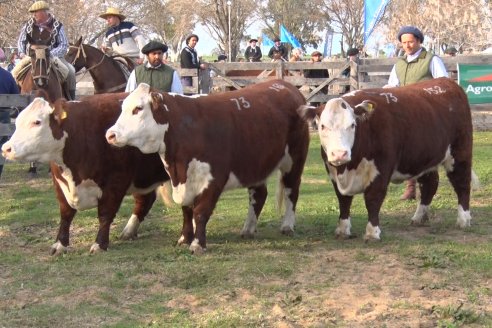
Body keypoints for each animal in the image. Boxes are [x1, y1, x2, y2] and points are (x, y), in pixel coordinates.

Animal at [1, 93, 170, 255]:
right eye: (17, 122)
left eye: (37, 122)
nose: (6, 148)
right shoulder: (60, 184)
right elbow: (66, 214)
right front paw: (60, 244)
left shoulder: (116, 182)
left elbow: (105, 215)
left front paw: (100, 244)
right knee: (145, 200)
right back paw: (129, 231)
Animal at [105, 79, 310, 254]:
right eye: (123, 108)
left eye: (138, 109)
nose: (110, 134)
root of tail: (286, 86)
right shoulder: (183, 181)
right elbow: (187, 211)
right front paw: (184, 239)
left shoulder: (213, 179)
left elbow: (201, 212)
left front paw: (197, 244)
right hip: (256, 164)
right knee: (258, 195)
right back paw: (248, 229)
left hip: (294, 160)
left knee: (292, 190)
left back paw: (287, 226)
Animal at [300, 77, 476, 241]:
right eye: (323, 126)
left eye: (352, 125)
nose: (339, 154)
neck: (348, 168)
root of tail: (447, 82)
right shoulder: (333, 172)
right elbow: (343, 200)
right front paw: (343, 230)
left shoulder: (381, 168)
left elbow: (373, 199)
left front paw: (372, 232)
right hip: (425, 157)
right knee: (429, 184)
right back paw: (419, 217)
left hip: (460, 153)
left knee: (462, 183)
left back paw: (464, 219)